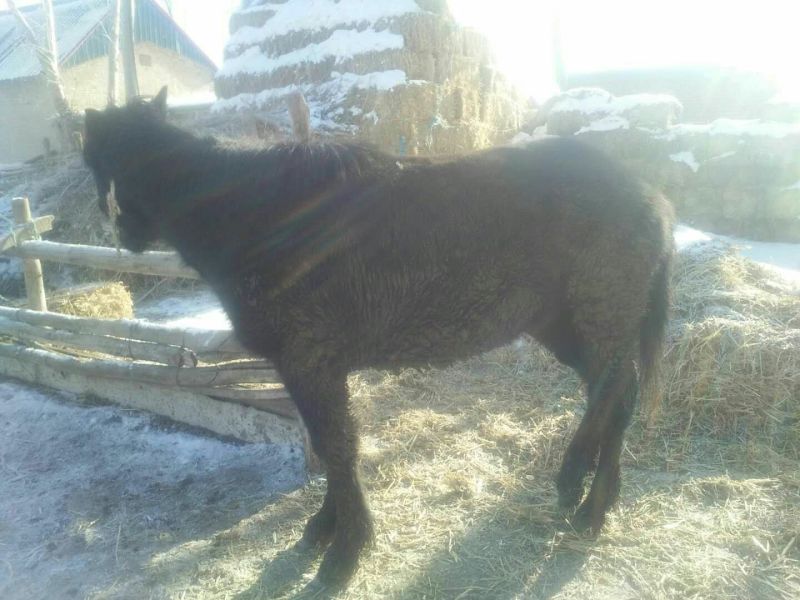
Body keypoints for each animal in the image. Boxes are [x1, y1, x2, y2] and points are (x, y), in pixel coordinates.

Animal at [82, 87, 673, 591]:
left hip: (600, 318)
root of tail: (652, 198)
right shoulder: (309, 367)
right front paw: (325, 530)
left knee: (612, 391)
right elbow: (330, 445)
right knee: (616, 397)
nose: (125, 236)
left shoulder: (310, 361)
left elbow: (338, 448)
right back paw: (597, 502)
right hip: (565, 327)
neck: (257, 214)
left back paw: (579, 491)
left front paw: (344, 553)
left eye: (99, 163)